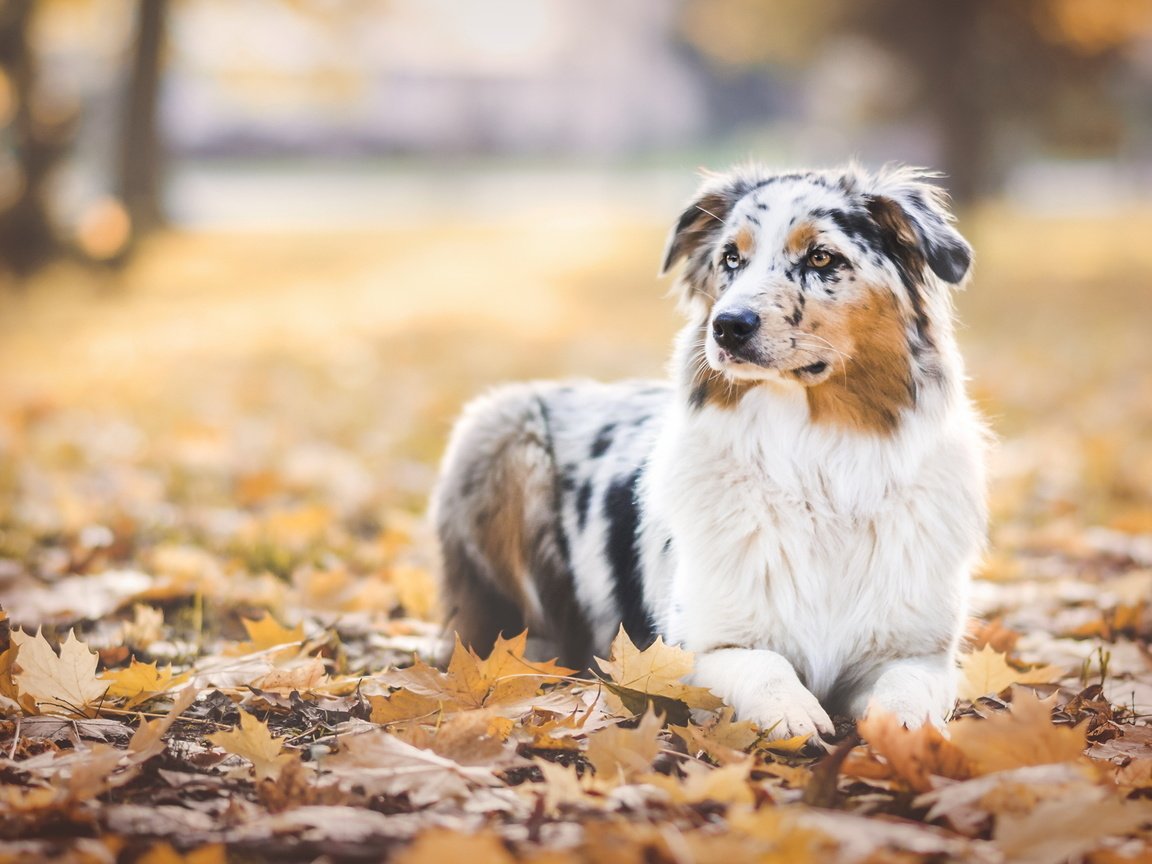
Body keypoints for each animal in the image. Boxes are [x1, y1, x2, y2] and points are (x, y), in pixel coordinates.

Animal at [428, 165, 986, 741]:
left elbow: (906, 692)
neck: (814, 465)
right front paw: (793, 711)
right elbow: (762, 664)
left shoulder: (918, 653)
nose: (728, 325)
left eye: (821, 257)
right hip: (496, 428)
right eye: (731, 259)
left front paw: (905, 734)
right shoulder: (691, 649)